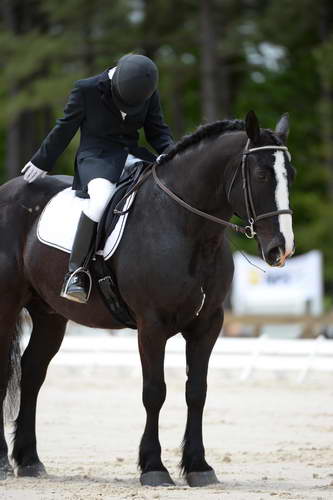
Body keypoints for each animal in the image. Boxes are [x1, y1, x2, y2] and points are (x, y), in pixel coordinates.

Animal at [0, 111, 294, 486]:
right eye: (260, 175)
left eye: (291, 175)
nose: (281, 250)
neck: (187, 228)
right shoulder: (151, 325)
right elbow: (155, 391)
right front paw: (154, 467)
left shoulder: (207, 324)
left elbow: (196, 391)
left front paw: (198, 466)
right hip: (6, 306)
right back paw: (3, 462)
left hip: (49, 314)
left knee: (33, 371)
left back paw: (29, 460)